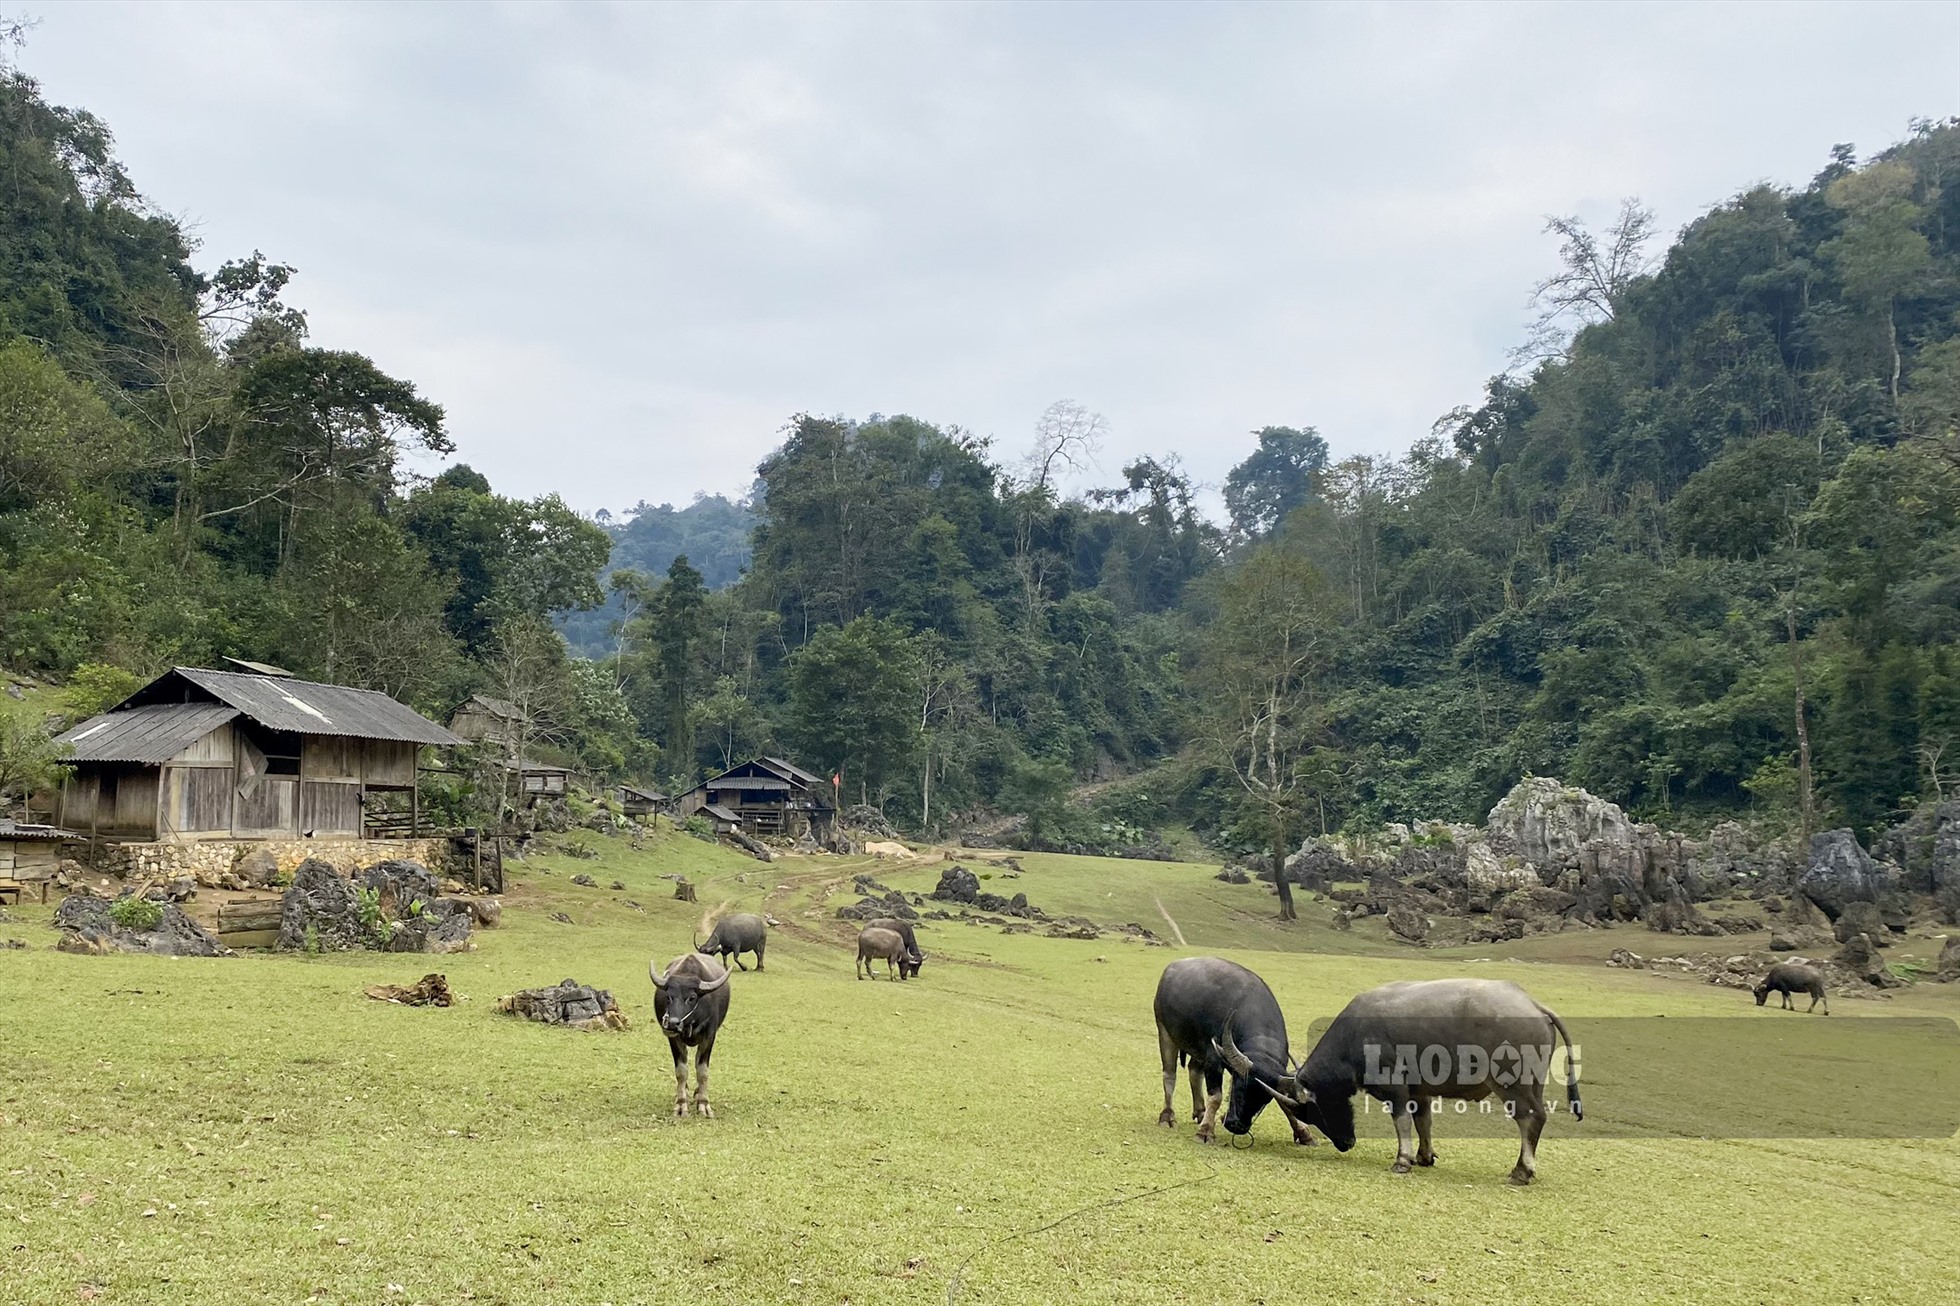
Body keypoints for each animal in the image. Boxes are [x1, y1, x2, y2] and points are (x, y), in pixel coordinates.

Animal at [654, 945, 733, 1121]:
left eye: (692, 997)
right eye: (668, 997)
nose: (672, 1023)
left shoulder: (709, 1036)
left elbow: (702, 1070)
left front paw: (704, 1105)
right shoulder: (674, 1039)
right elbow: (681, 1071)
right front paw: (681, 1104)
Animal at [1144, 953, 1317, 1145]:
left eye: (1265, 1099)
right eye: (1238, 1086)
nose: (1236, 1126)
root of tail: (1171, 968)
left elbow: (1284, 1103)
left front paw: (1304, 1133)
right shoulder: (1213, 1058)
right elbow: (1216, 1097)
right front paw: (1205, 1132)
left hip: (1198, 1048)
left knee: (1194, 1071)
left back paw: (1201, 1112)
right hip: (1165, 1030)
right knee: (1169, 1075)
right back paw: (1167, 1117)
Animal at [1246, 976, 1583, 1176]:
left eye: (1314, 1111)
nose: (1344, 1144)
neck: (1356, 1034)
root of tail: (1532, 1004)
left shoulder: (1395, 1089)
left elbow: (1402, 1122)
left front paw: (1403, 1160)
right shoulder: (1420, 1091)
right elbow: (1424, 1122)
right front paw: (1424, 1156)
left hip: (1511, 1084)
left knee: (1531, 1118)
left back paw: (1522, 1171)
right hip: (1533, 1084)